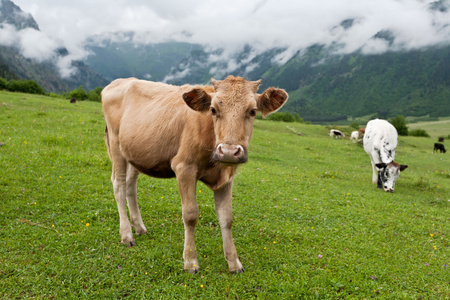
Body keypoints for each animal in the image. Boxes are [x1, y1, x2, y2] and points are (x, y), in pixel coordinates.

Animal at [102, 76, 288, 274]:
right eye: (213, 110)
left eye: (252, 111)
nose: (229, 152)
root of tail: (121, 81)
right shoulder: (184, 168)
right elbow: (190, 215)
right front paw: (190, 261)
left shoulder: (227, 176)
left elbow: (227, 218)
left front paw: (234, 262)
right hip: (115, 144)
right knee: (119, 185)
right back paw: (127, 234)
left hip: (134, 153)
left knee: (131, 186)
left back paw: (139, 227)